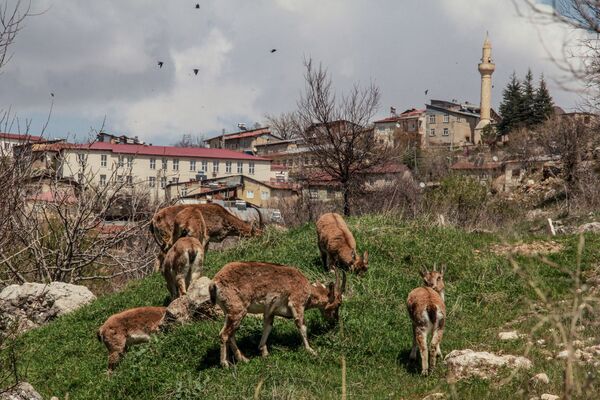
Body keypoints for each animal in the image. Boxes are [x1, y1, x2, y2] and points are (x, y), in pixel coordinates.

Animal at [209, 260, 344, 368]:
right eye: (338, 304)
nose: (335, 320)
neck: (308, 291)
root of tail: (215, 283)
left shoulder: (269, 312)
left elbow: (267, 327)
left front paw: (264, 352)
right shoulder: (297, 302)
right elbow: (301, 326)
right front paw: (311, 350)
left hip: (230, 312)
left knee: (231, 334)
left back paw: (244, 359)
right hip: (237, 310)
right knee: (224, 334)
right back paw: (225, 364)